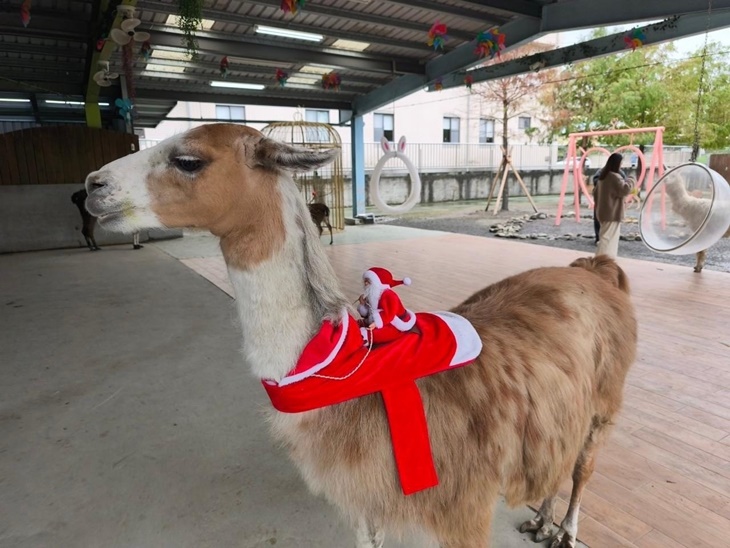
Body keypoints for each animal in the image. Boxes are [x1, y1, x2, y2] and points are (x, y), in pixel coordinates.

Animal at [84, 124, 637, 548]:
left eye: (188, 159)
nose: (92, 184)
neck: (347, 368)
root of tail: (598, 268)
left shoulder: (463, 506)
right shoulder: (365, 495)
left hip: (606, 401)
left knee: (583, 468)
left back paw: (564, 531)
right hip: (564, 406)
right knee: (559, 460)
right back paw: (540, 520)